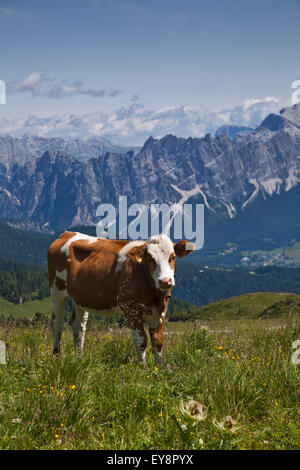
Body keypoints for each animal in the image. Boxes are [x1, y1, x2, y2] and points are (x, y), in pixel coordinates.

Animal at [47, 231, 192, 364]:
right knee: (57, 323)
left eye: (172, 257)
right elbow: (141, 341)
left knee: (78, 326)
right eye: (150, 259)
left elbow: (158, 341)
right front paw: (144, 368)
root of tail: (67, 233)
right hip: (57, 290)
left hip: (80, 298)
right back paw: (56, 356)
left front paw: (160, 369)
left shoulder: (161, 312)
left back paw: (79, 358)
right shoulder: (131, 310)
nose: (165, 281)